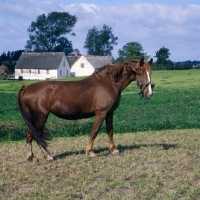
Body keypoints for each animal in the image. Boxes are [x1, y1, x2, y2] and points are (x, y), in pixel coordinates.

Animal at [18, 56, 153, 161]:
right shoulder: (101, 113)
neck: (108, 83)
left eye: (150, 74)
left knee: (30, 135)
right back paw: (47, 156)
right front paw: (90, 151)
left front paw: (113, 149)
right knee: (36, 135)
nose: (149, 93)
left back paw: (32, 157)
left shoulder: (109, 113)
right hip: (40, 118)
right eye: (140, 73)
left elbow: (110, 130)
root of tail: (27, 88)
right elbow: (94, 131)